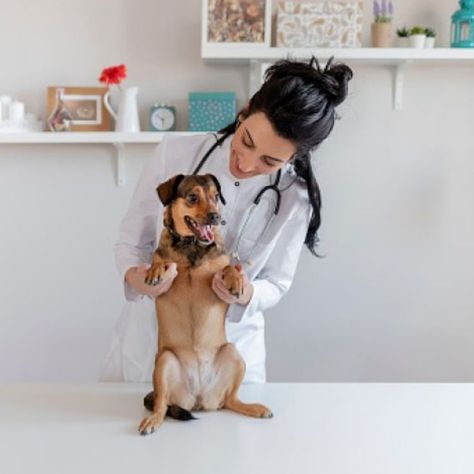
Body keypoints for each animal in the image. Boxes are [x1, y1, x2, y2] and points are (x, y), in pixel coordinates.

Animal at [138, 172, 270, 436]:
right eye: (192, 197)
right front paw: (156, 271)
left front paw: (235, 279)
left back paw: (253, 408)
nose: (216, 216)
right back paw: (153, 420)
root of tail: (198, 398)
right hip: (165, 361)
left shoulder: (219, 263)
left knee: (231, 400)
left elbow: (229, 266)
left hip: (233, 354)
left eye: (215, 197)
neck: (193, 244)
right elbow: (159, 260)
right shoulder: (163, 257)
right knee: (161, 405)